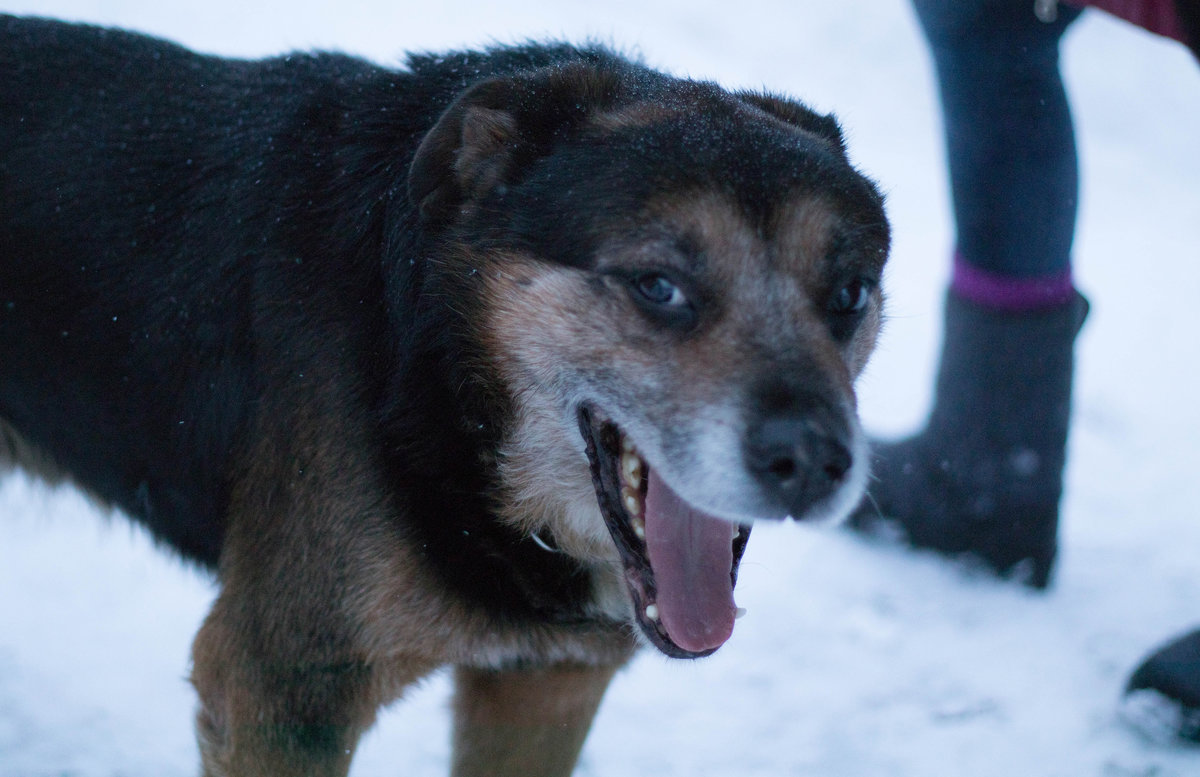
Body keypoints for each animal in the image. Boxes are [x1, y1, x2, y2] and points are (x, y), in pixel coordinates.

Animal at [2, 13, 892, 777]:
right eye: (657, 285)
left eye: (849, 293)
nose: (815, 463)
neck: (432, 380)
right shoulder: (280, 685)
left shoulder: (547, 683)